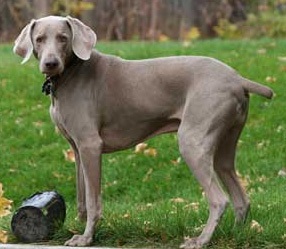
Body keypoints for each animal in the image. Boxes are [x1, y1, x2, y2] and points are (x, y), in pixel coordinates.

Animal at [13, 16, 272, 249]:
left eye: (63, 38)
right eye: (39, 39)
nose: (50, 63)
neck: (70, 73)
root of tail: (238, 79)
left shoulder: (90, 145)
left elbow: (93, 199)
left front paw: (86, 239)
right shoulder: (77, 149)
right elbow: (82, 196)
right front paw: (81, 231)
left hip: (193, 141)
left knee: (219, 199)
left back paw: (201, 240)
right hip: (223, 145)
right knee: (240, 197)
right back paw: (235, 234)